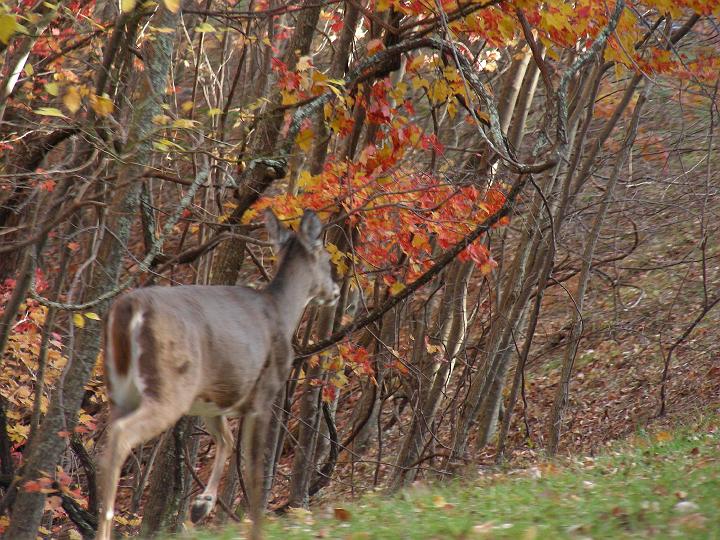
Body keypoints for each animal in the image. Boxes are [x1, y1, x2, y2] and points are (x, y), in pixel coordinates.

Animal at [96, 210, 340, 540]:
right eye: (326, 257)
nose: (336, 290)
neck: (281, 312)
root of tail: (130, 307)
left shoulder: (213, 400)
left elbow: (226, 440)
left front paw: (202, 505)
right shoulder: (263, 394)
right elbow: (255, 470)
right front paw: (255, 529)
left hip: (120, 391)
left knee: (108, 443)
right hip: (172, 385)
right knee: (123, 435)